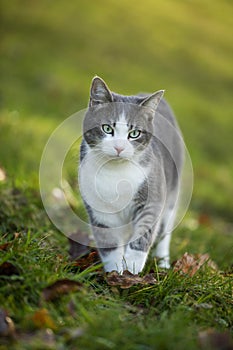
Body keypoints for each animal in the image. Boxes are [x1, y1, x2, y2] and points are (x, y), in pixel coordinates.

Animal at [78, 76, 184, 274]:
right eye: (107, 128)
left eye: (134, 133)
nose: (119, 147)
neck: (116, 173)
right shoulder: (99, 209)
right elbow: (109, 244)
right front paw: (115, 273)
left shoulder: (152, 196)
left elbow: (143, 234)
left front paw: (132, 271)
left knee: (165, 229)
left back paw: (163, 262)